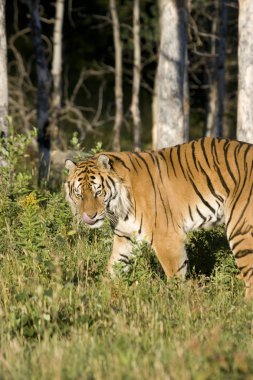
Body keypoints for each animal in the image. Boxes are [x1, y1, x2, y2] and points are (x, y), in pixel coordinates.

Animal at [64, 138, 253, 298]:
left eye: (98, 192)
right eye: (79, 194)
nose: (90, 216)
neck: (117, 207)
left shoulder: (167, 238)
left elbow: (175, 275)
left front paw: (175, 303)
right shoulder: (125, 236)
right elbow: (114, 266)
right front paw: (100, 294)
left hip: (240, 230)